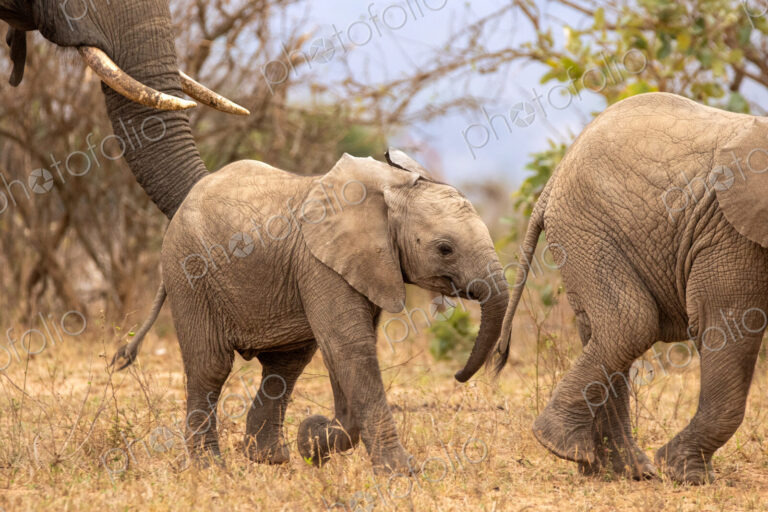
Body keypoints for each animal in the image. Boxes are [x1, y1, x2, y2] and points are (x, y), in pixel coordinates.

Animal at [112, 149, 509, 471]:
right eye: (445, 249)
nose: (458, 375)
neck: (390, 186)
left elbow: (343, 352)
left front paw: (312, 442)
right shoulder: (321, 264)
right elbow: (349, 348)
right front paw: (400, 471)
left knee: (285, 366)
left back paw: (267, 458)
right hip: (188, 272)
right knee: (211, 366)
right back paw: (210, 466)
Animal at [496, 92, 768, 484]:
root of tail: (553, 180)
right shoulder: (730, 232)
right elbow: (732, 326)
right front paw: (689, 475)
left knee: (604, 331)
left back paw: (616, 469)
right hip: (589, 228)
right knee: (631, 324)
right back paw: (564, 446)